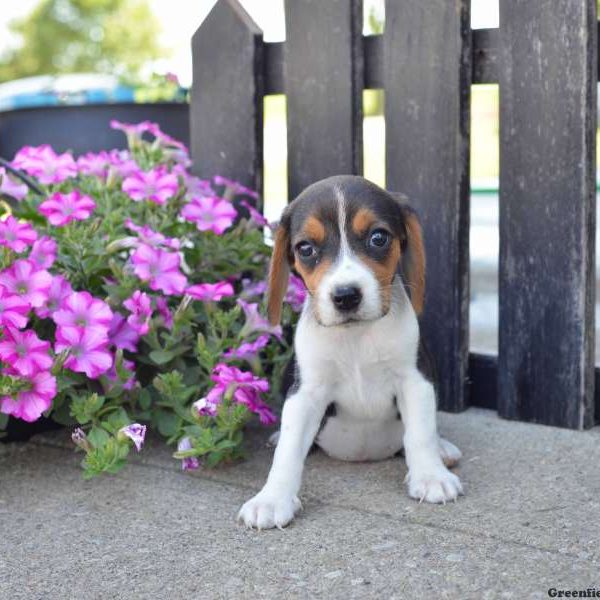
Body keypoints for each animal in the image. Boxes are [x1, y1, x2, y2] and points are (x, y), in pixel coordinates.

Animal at [237, 175, 462, 528]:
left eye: (378, 238)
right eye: (306, 249)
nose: (345, 296)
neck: (356, 336)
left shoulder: (415, 381)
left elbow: (421, 433)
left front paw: (430, 476)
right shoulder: (306, 393)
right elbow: (288, 450)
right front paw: (271, 499)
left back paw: (443, 450)